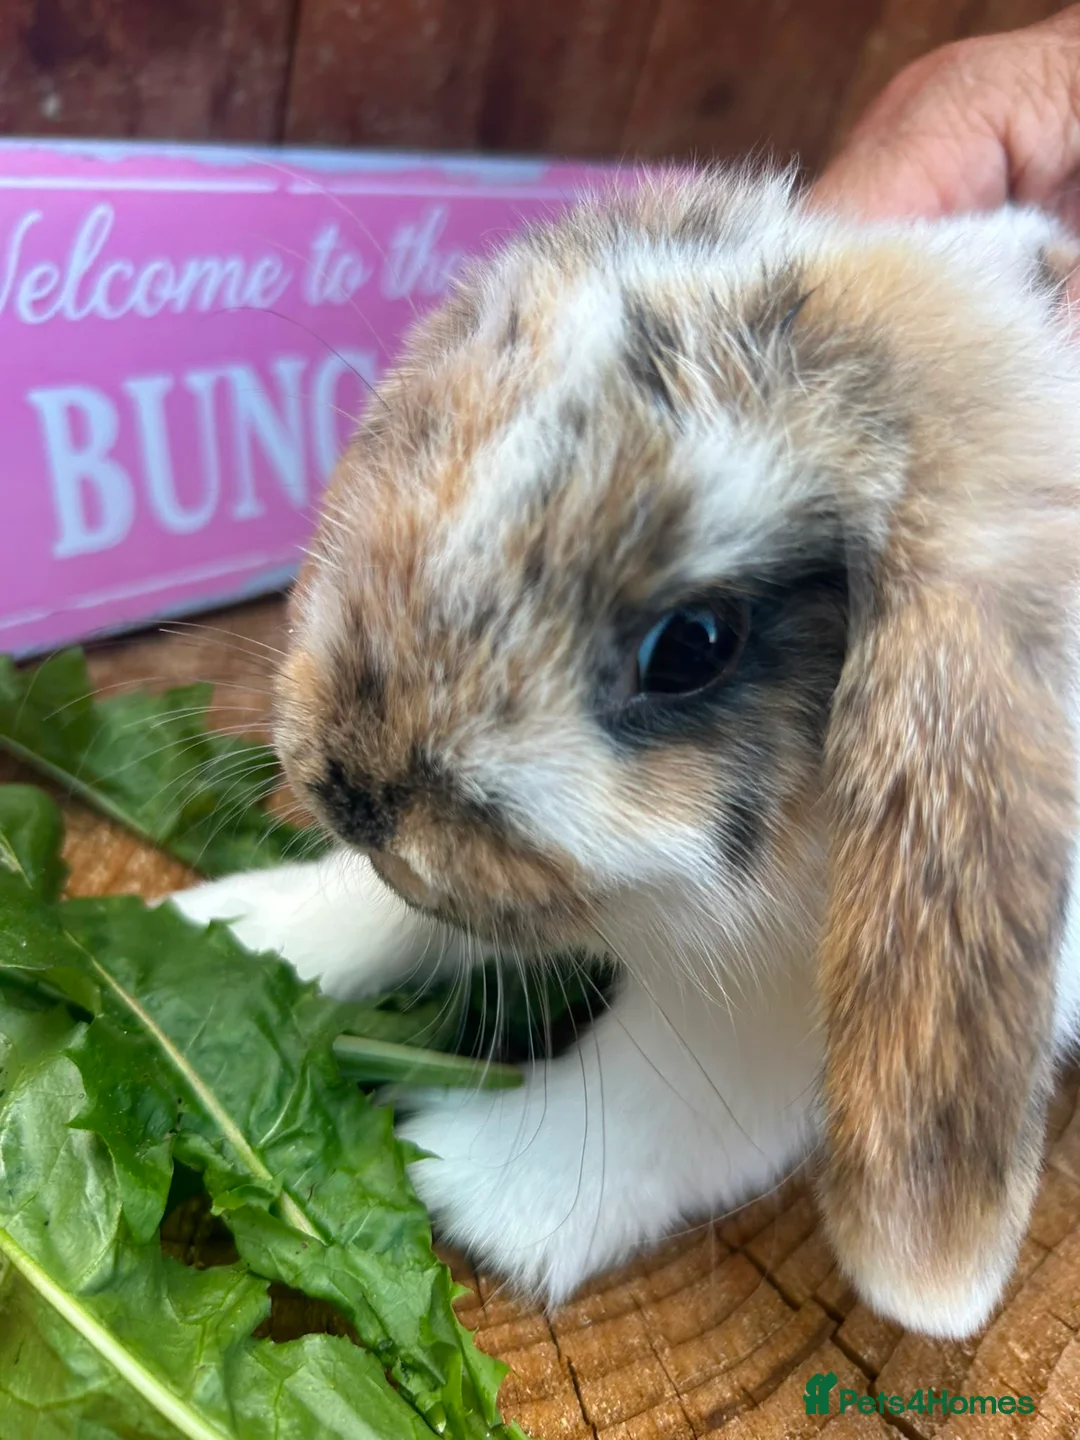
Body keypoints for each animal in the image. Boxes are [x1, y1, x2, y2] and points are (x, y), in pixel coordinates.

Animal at [172, 169, 1080, 1341]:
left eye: (691, 644)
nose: (355, 797)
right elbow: (395, 918)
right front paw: (230, 933)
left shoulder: (757, 1022)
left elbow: (659, 1104)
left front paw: (463, 1183)